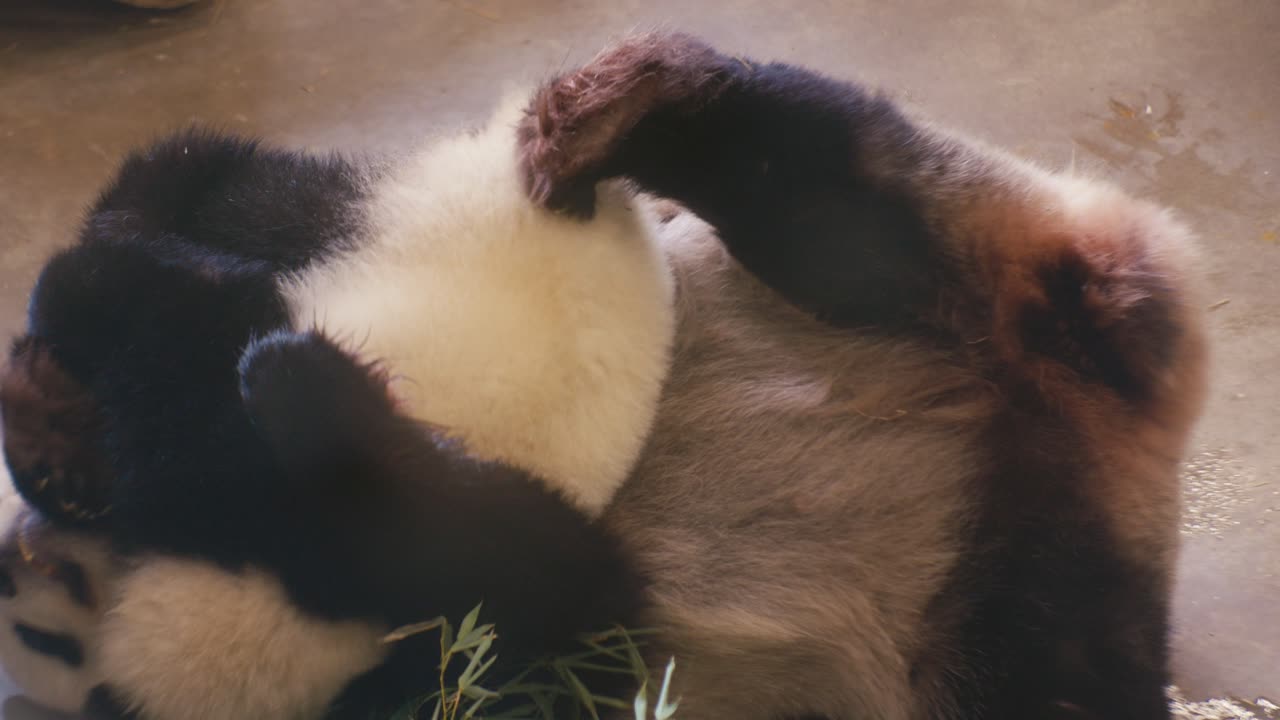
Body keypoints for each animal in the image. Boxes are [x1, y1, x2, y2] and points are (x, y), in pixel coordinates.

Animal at [0, 31, 1208, 720]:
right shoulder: (465, 658)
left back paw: (622, 110)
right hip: (1018, 614)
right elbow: (528, 569)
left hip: (933, 272)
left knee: (839, 180)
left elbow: (176, 201)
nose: (24, 557)